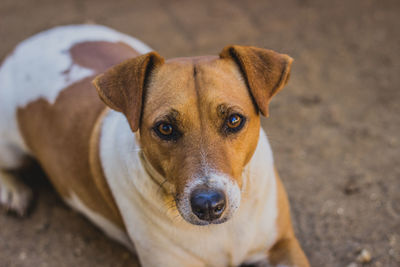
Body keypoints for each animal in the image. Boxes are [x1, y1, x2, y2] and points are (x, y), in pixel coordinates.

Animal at [0, 25, 310, 267]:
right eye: (165, 128)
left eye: (234, 120)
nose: (209, 205)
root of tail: (29, 43)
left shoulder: (283, 246)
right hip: (10, 146)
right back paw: (13, 191)